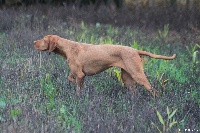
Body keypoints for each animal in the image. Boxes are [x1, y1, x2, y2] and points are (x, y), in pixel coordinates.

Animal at [34, 34, 175, 97]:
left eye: (44, 39)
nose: (34, 41)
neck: (68, 47)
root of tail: (135, 50)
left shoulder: (80, 74)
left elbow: (77, 87)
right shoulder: (79, 75)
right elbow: (71, 79)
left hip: (137, 75)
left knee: (154, 91)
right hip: (127, 78)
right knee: (135, 92)